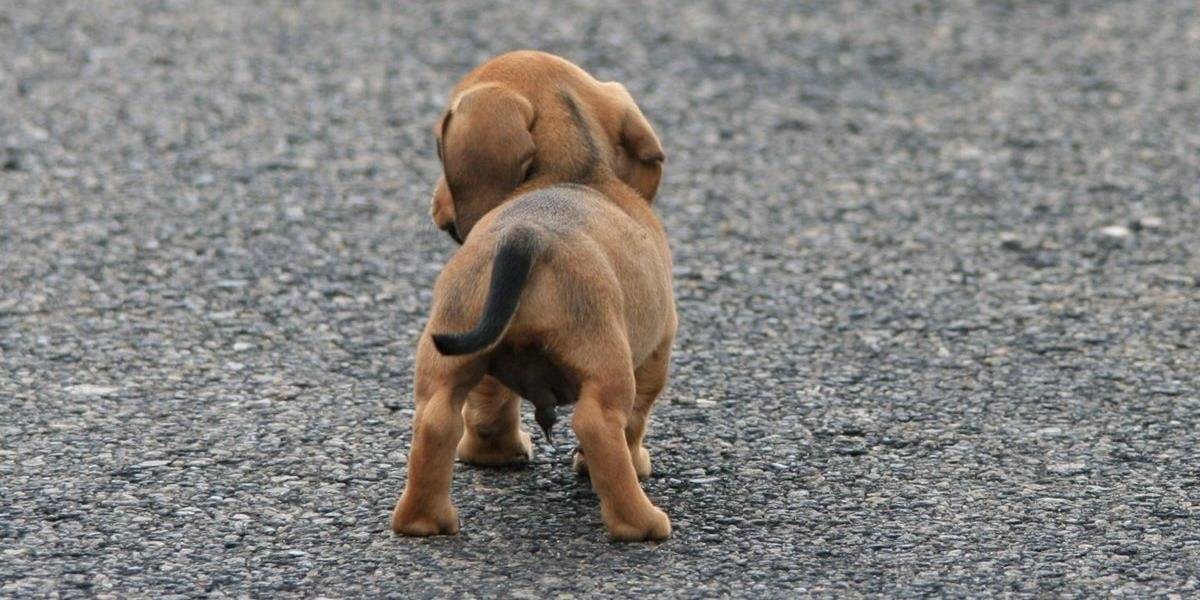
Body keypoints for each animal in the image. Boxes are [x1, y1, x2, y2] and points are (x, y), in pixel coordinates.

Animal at [393, 51, 676, 542]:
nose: (434, 205)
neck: (571, 174)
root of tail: (526, 236)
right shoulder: (657, 349)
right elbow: (637, 419)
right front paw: (635, 462)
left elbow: (490, 407)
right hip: (606, 364)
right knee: (599, 426)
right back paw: (642, 523)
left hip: (447, 354)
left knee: (436, 421)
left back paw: (424, 520)